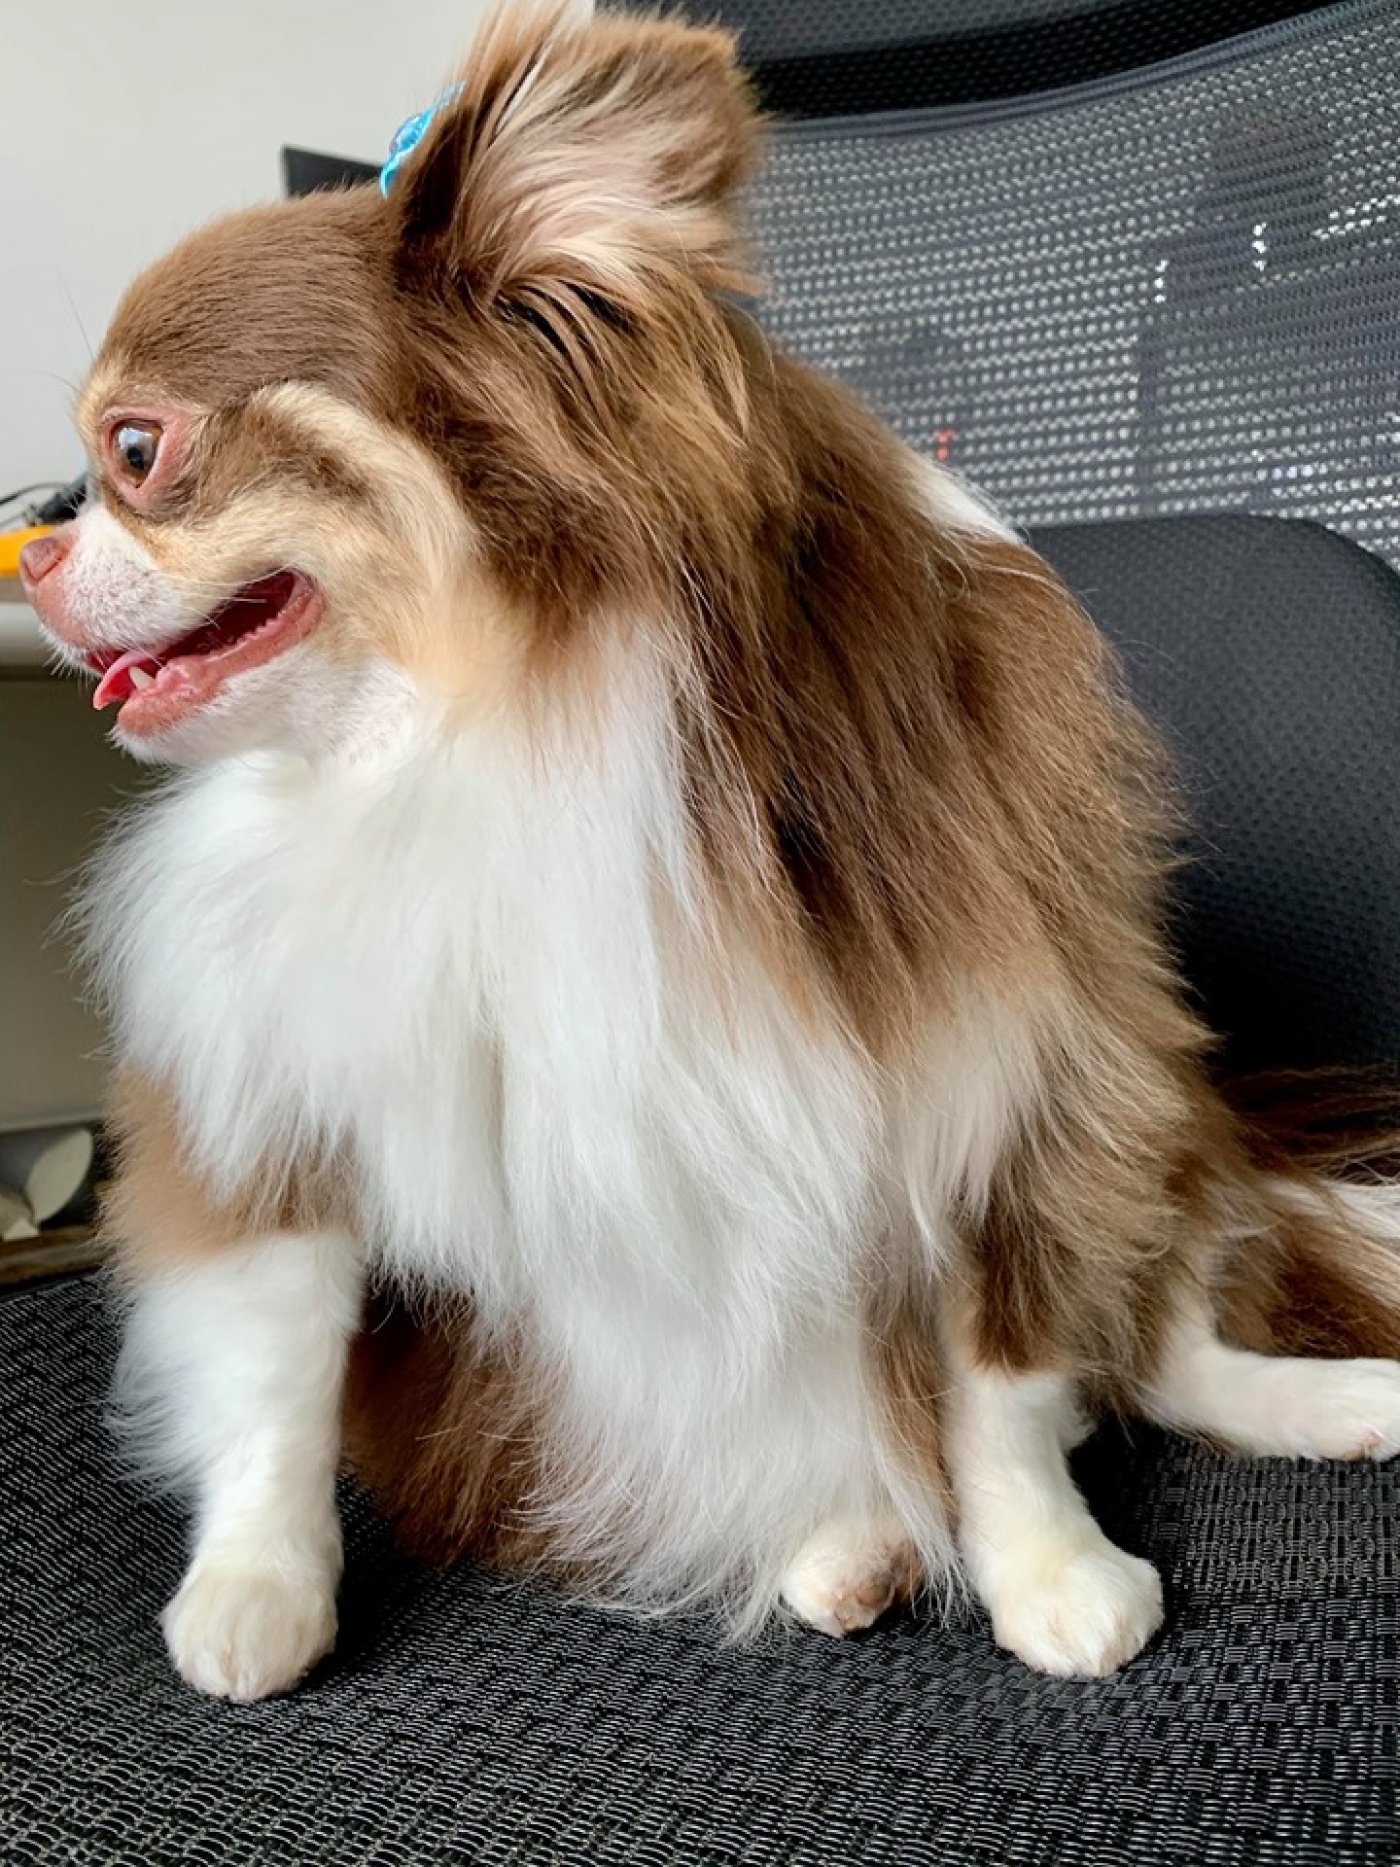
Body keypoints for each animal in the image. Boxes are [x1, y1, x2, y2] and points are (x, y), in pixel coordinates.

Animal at [22, 3, 1400, 1703]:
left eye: (137, 447)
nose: (31, 535)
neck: (485, 721)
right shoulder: (271, 1100)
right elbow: (277, 1372)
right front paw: (255, 1585)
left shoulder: (1019, 1080)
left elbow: (1003, 1378)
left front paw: (1052, 1569)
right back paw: (850, 1542)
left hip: (1158, 1123)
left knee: (1157, 1351)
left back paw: (1332, 1401)